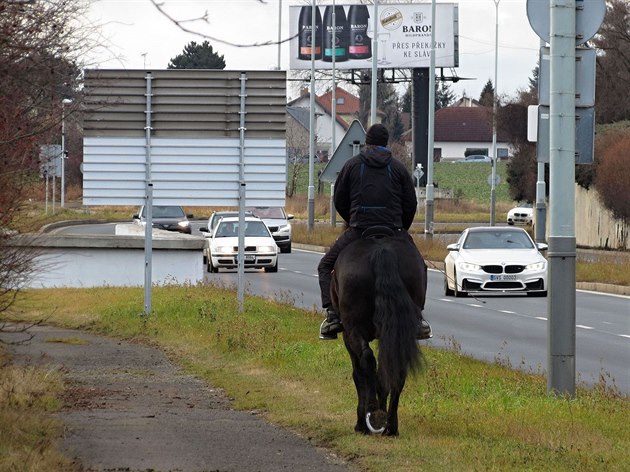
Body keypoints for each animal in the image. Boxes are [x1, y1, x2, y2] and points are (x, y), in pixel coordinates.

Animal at [328, 230, 428, 436]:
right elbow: (383, 375)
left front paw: (361, 422)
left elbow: (359, 375)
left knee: (366, 361)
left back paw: (372, 416)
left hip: (353, 329)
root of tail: (382, 252)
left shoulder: (348, 337)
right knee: (397, 369)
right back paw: (390, 426)